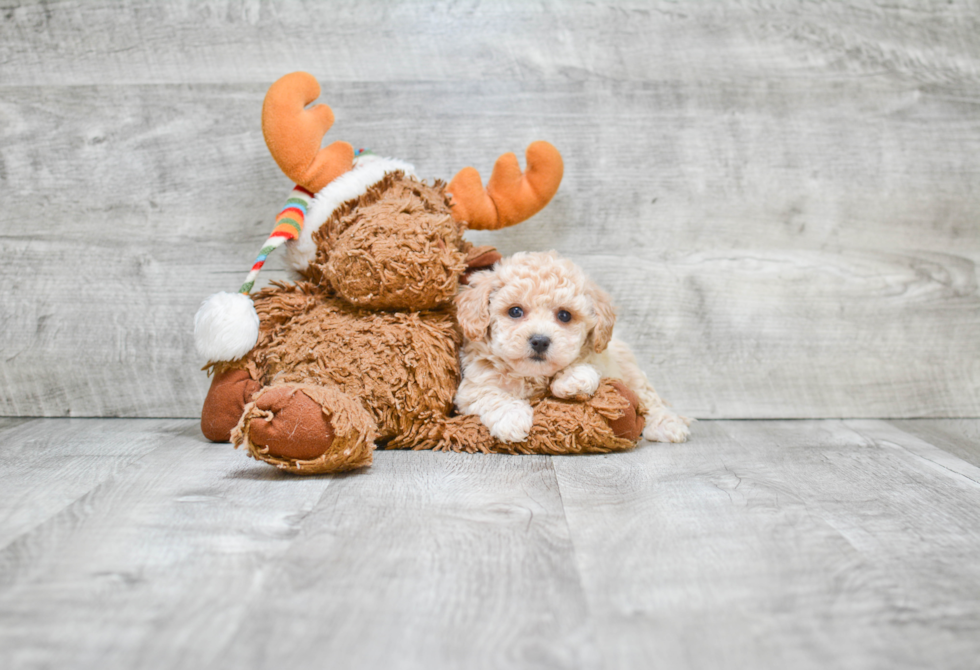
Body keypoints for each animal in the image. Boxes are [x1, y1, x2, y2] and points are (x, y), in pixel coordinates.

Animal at [454, 252, 688, 446]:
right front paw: (511, 418)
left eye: (564, 315)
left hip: (632, 371)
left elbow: (585, 363)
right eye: (515, 311)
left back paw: (667, 425)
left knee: (650, 399)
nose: (540, 341)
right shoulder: (472, 387)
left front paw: (573, 379)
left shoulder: (601, 357)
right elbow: (491, 394)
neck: (533, 376)